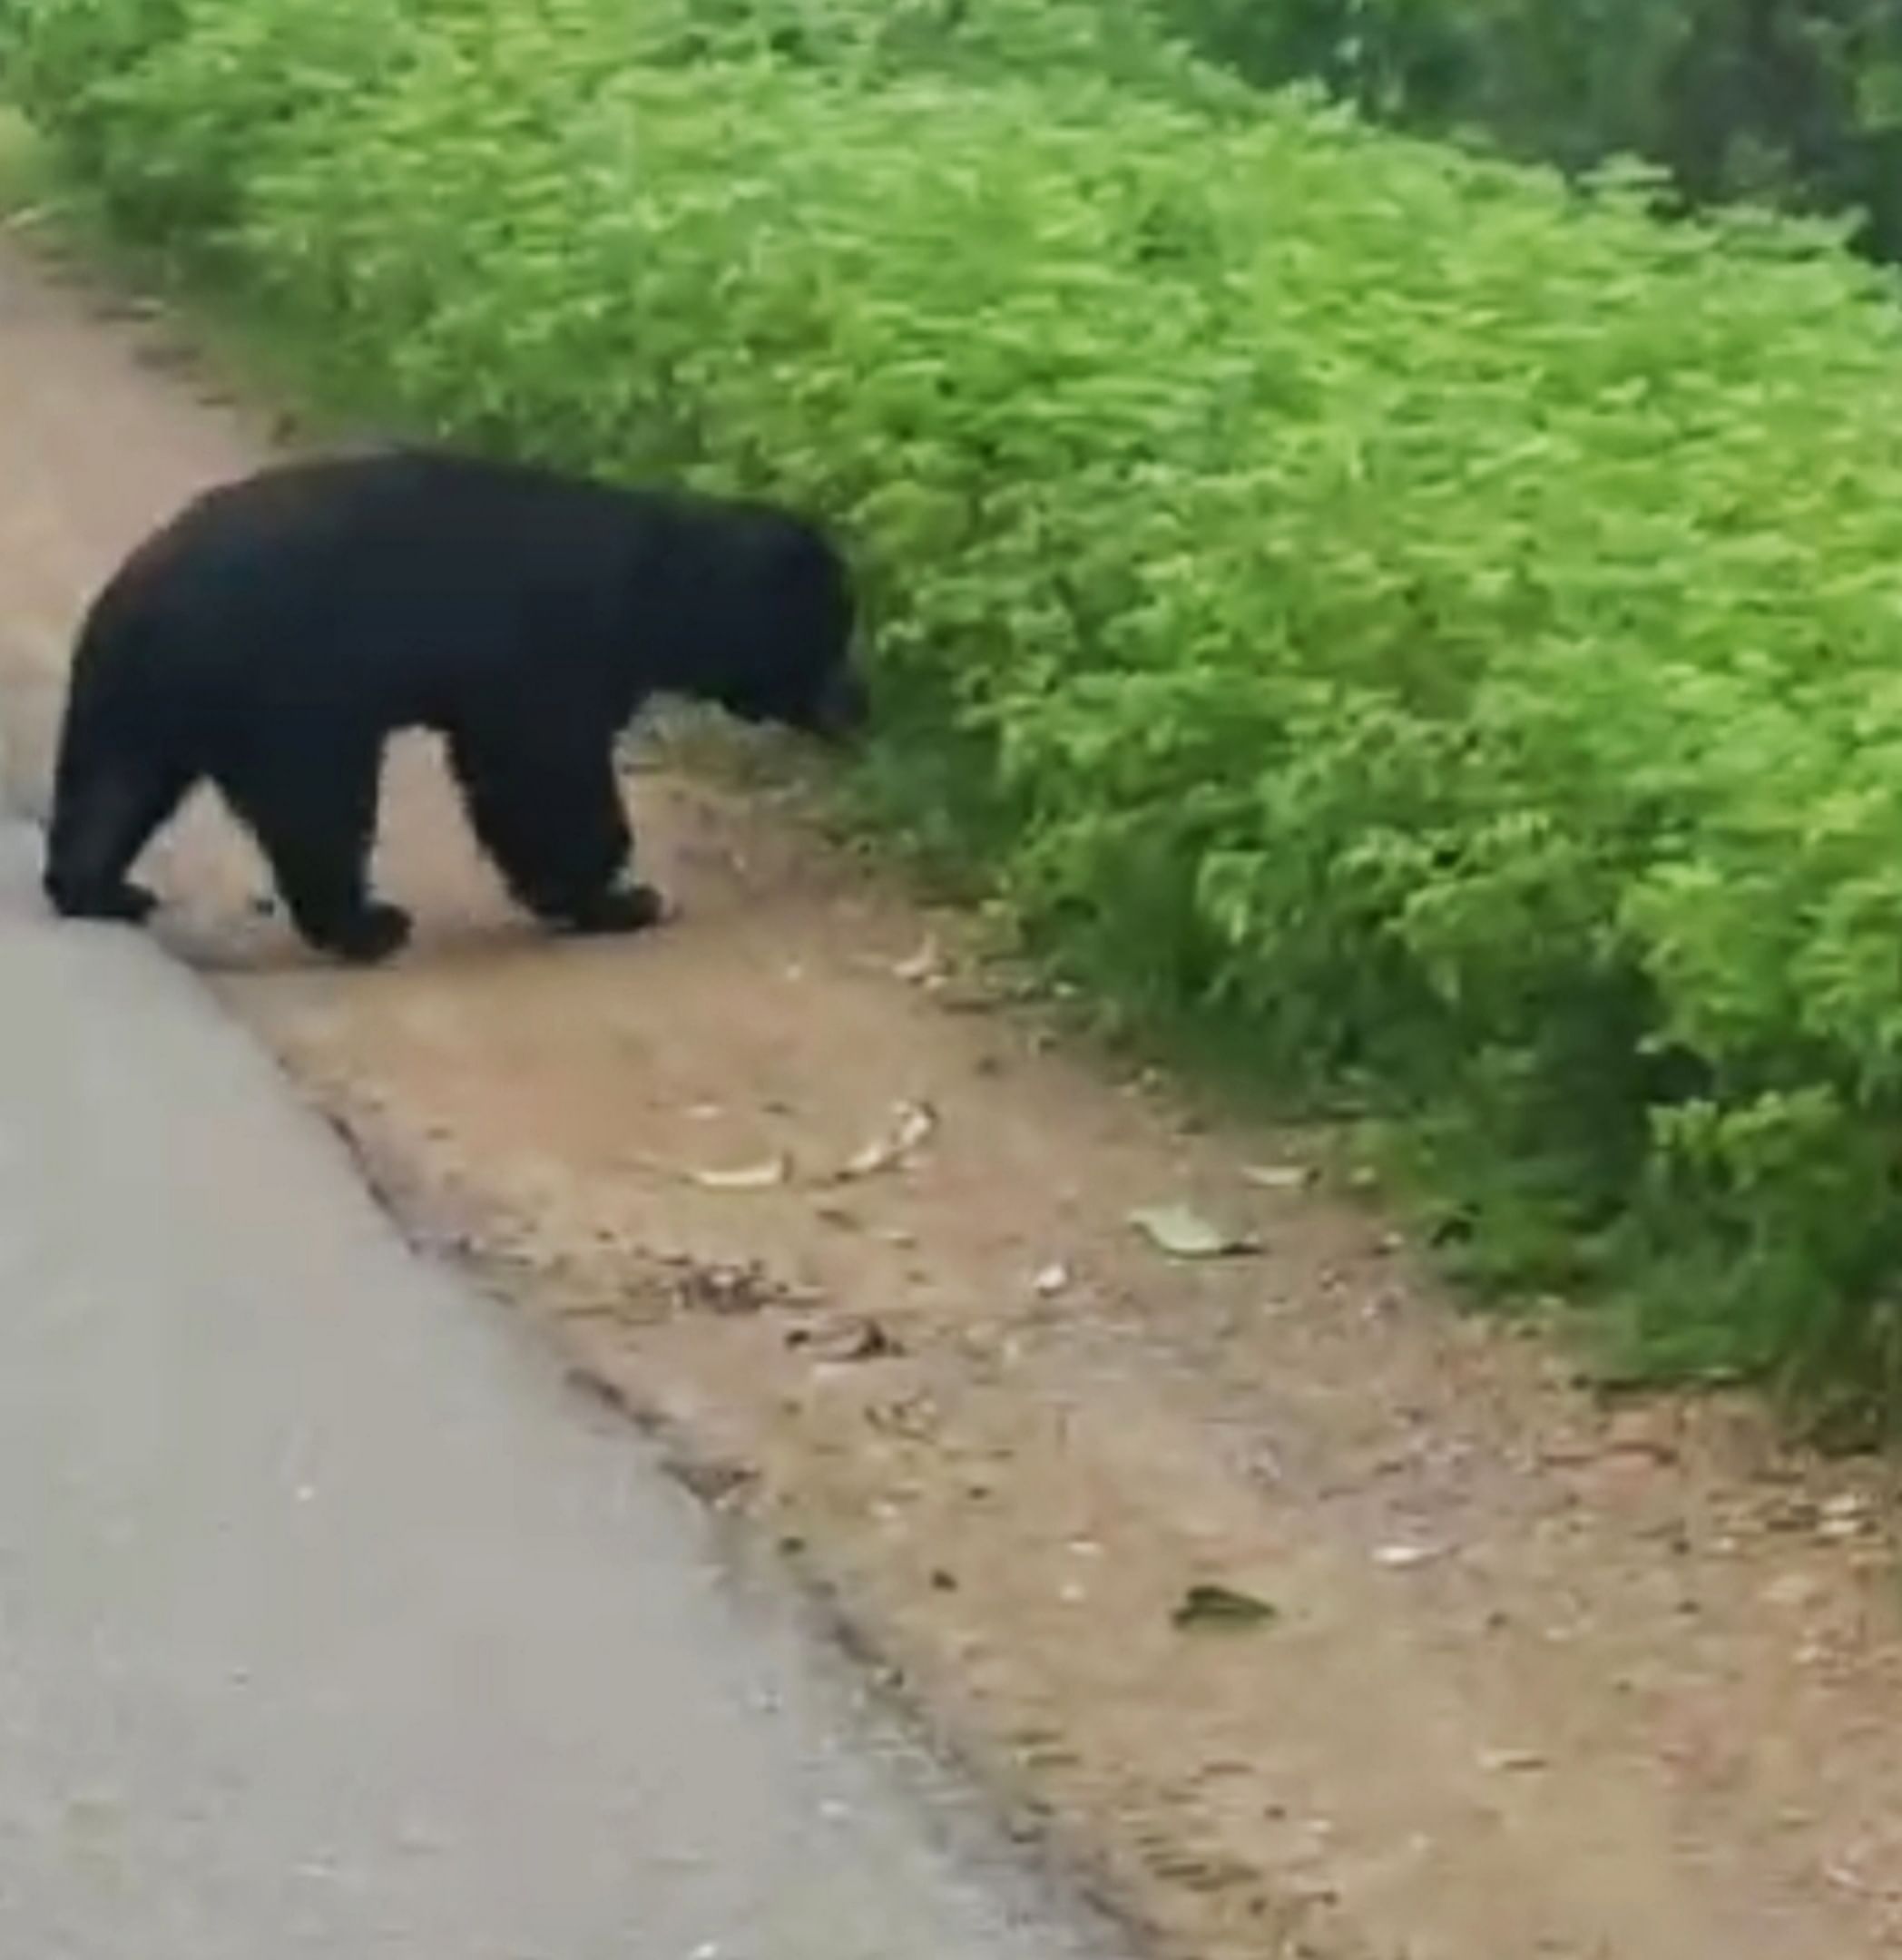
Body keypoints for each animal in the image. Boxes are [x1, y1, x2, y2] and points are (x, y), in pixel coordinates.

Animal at [40, 446, 867, 964]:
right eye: (830, 637)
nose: (859, 707)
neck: (655, 595)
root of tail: (143, 593)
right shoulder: (551, 656)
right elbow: (545, 777)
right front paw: (621, 896)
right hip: (286, 688)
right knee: (319, 808)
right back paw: (368, 925)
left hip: (141, 694)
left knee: (113, 785)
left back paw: (103, 888)